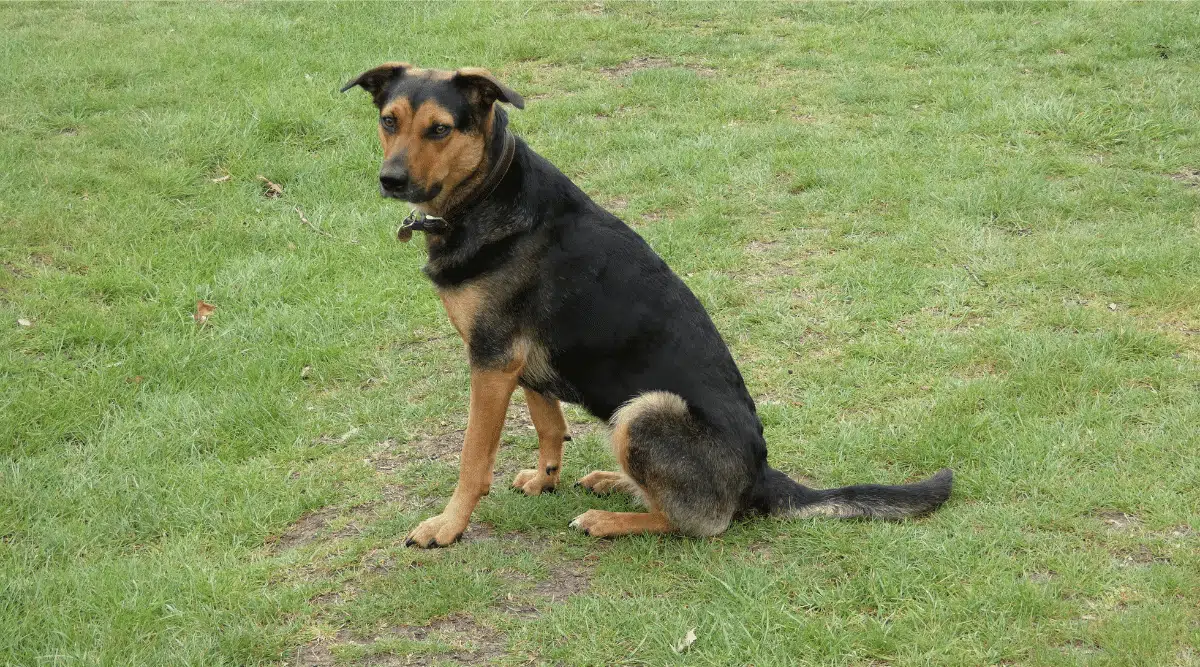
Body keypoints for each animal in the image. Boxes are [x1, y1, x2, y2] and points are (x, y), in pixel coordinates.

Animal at [343, 62, 950, 547]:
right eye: (389, 121)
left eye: (440, 129)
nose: (390, 180)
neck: (489, 189)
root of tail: (760, 475)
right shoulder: (518, 363)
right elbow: (547, 422)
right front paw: (544, 479)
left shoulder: (491, 361)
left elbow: (473, 460)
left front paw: (446, 527)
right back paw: (617, 482)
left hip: (644, 411)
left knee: (700, 523)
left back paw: (610, 519)